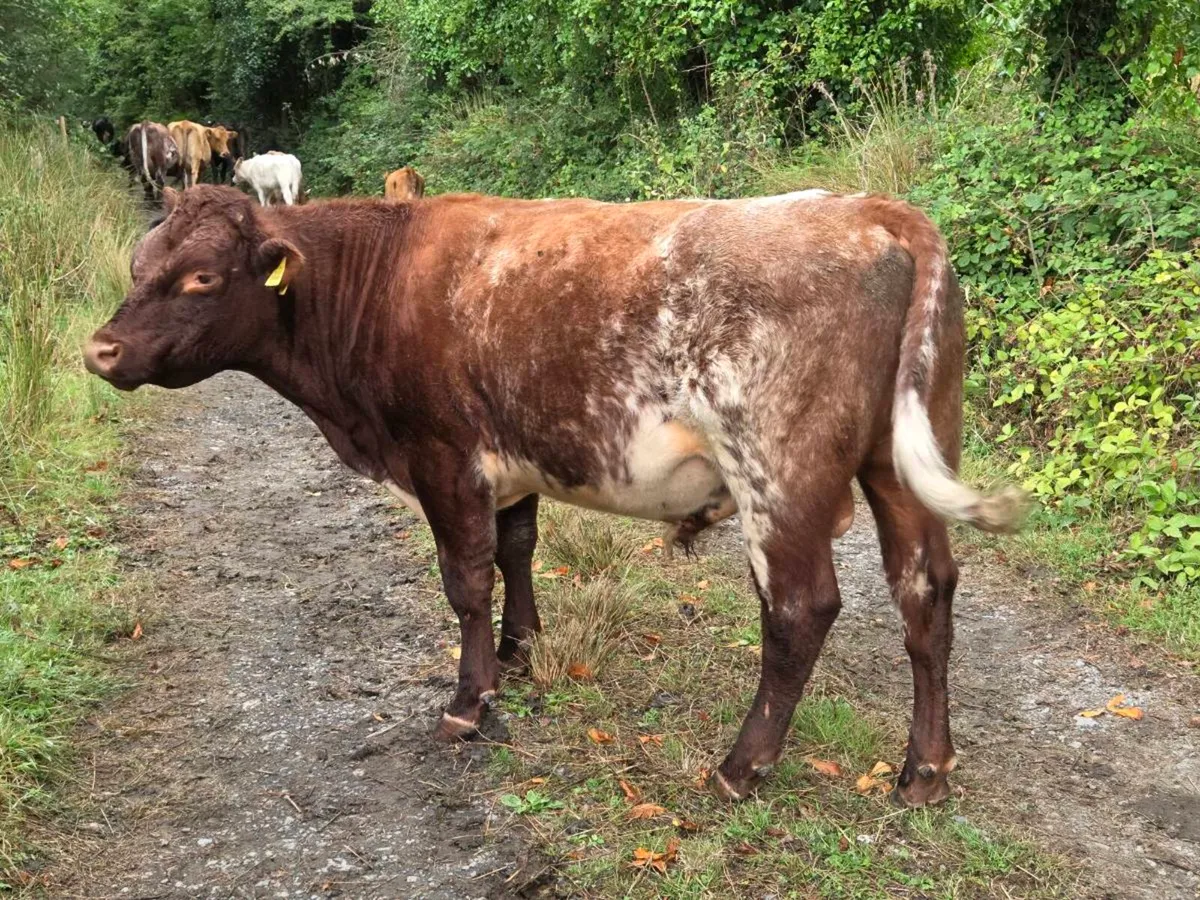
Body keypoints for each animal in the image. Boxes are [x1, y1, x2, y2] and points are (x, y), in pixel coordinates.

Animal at [84, 185, 1026, 808]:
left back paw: (740, 766)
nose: (101, 349)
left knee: (802, 609)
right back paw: (924, 770)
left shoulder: (444, 459)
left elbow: (466, 580)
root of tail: (874, 208)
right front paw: (520, 651)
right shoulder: (511, 463)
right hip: (899, 464)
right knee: (924, 592)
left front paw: (468, 702)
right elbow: (516, 550)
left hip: (776, 473)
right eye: (139, 264)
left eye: (202, 278)